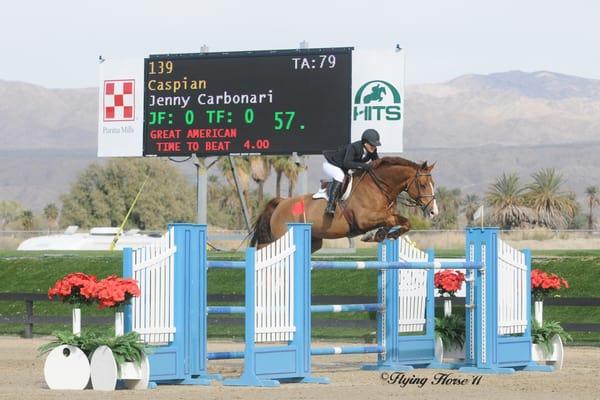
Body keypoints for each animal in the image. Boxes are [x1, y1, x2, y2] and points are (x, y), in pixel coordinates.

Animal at [251, 157, 438, 253]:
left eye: (433, 183)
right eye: (422, 185)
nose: (433, 212)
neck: (379, 187)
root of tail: (281, 202)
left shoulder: (384, 215)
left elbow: (403, 222)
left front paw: (382, 235)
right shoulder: (364, 219)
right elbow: (392, 220)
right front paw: (376, 235)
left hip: (313, 241)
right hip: (281, 237)